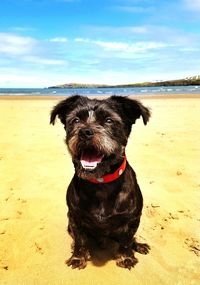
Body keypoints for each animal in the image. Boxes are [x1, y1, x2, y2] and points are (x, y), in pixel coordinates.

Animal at [50, 95, 151, 268]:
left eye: (109, 120)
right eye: (76, 120)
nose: (85, 132)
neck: (101, 182)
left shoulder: (132, 219)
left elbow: (126, 240)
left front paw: (126, 257)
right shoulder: (75, 218)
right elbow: (80, 241)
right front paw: (78, 257)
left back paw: (138, 246)